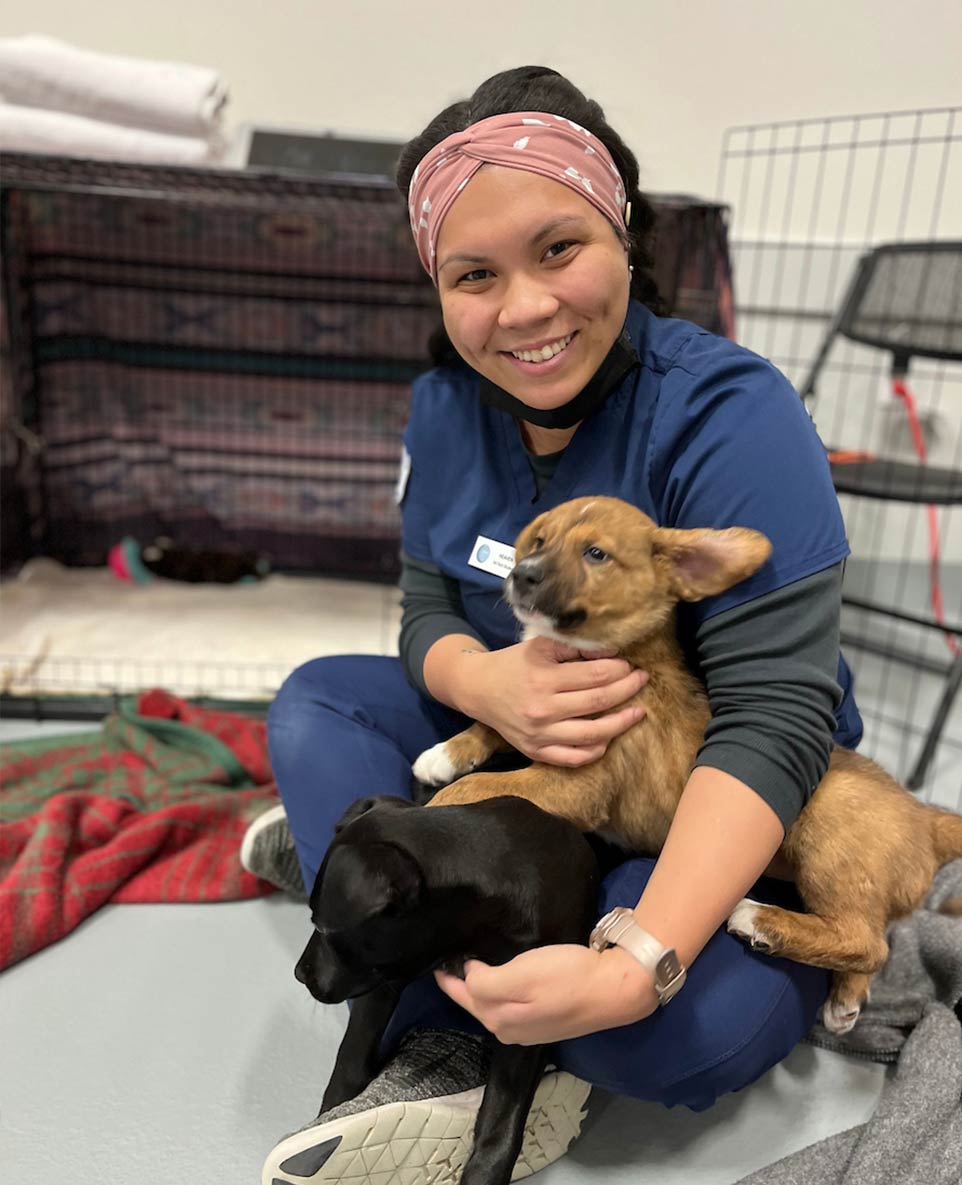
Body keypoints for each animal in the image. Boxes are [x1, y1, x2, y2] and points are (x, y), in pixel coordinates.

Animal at [292, 791, 597, 1185]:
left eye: (324, 928)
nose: (300, 974)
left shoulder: (526, 1015)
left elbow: (502, 1121)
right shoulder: (390, 970)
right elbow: (351, 1055)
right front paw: (329, 1114)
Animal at [414, 495, 962, 1033]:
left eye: (596, 554)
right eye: (540, 541)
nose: (521, 573)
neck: (611, 653)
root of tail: (928, 817)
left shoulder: (577, 787)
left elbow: (481, 787)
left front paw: (435, 808)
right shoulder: (536, 716)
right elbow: (493, 721)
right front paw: (442, 755)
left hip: (829, 841)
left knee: (868, 942)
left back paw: (761, 920)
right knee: (871, 941)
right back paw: (845, 1000)